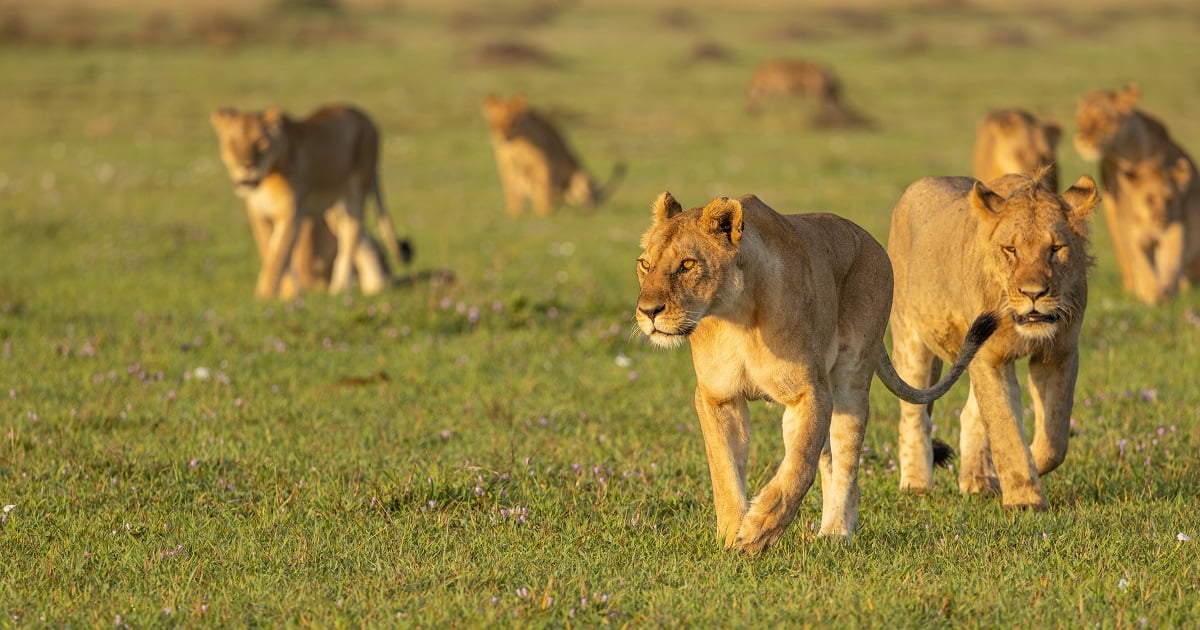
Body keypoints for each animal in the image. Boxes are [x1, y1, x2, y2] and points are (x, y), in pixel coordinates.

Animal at [208, 103, 410, 300]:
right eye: (232, 143)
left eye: (261, 142)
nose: (247, 166)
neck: (268, 177)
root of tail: (364, 116)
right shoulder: (258, 214)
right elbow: (270, 251)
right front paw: (292, 294)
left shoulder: (292, 213)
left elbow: (278, 256)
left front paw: (264, 298)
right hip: (334, 207)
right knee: (359, 237)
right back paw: (375, 286)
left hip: (356, 190)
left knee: (350, 236)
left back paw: (341, 288)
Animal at [480, 93, 628, 216]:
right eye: (494, 123)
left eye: (513, 122)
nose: (502, 138)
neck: (516, 143)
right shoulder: (505, 162)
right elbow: (510, 188)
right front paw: (515, 214)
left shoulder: (543, 161)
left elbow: (544, 188)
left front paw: (544, 213)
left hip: (581, 176)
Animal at [638, 190, 1003, 549]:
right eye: (645, 264)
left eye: (687, 265)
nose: (647, 311)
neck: (734, 317)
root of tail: (870, 241)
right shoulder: (717, 397)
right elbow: (725, 469)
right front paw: (731, 537)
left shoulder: (810, 392)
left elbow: (799, 466)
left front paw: (759, 529)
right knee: (826, 459)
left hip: (850, 381)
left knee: (845, 463)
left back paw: (836, 532)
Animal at [888, 168, 1099, 511]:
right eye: (1010, 250)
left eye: (1055, 248)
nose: (1033, 293)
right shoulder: (989, 356)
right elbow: (1005, 428)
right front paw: (1025, 499)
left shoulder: (1058, 353)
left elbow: (1054, 439)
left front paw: (1022, 471)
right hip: (911, 339)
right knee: (913, 416)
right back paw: (916, 485)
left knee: (971, 416)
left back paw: (979, 482)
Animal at [1075, 84, 1195, 304]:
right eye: (1080, 120)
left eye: (1101, 119)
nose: (1081, 139)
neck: (1125, 155)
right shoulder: (1125, 218)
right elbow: (1139, 260)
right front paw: (1150, 292)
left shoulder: (1175, 224)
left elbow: (1170, 260)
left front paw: (1164, 291)